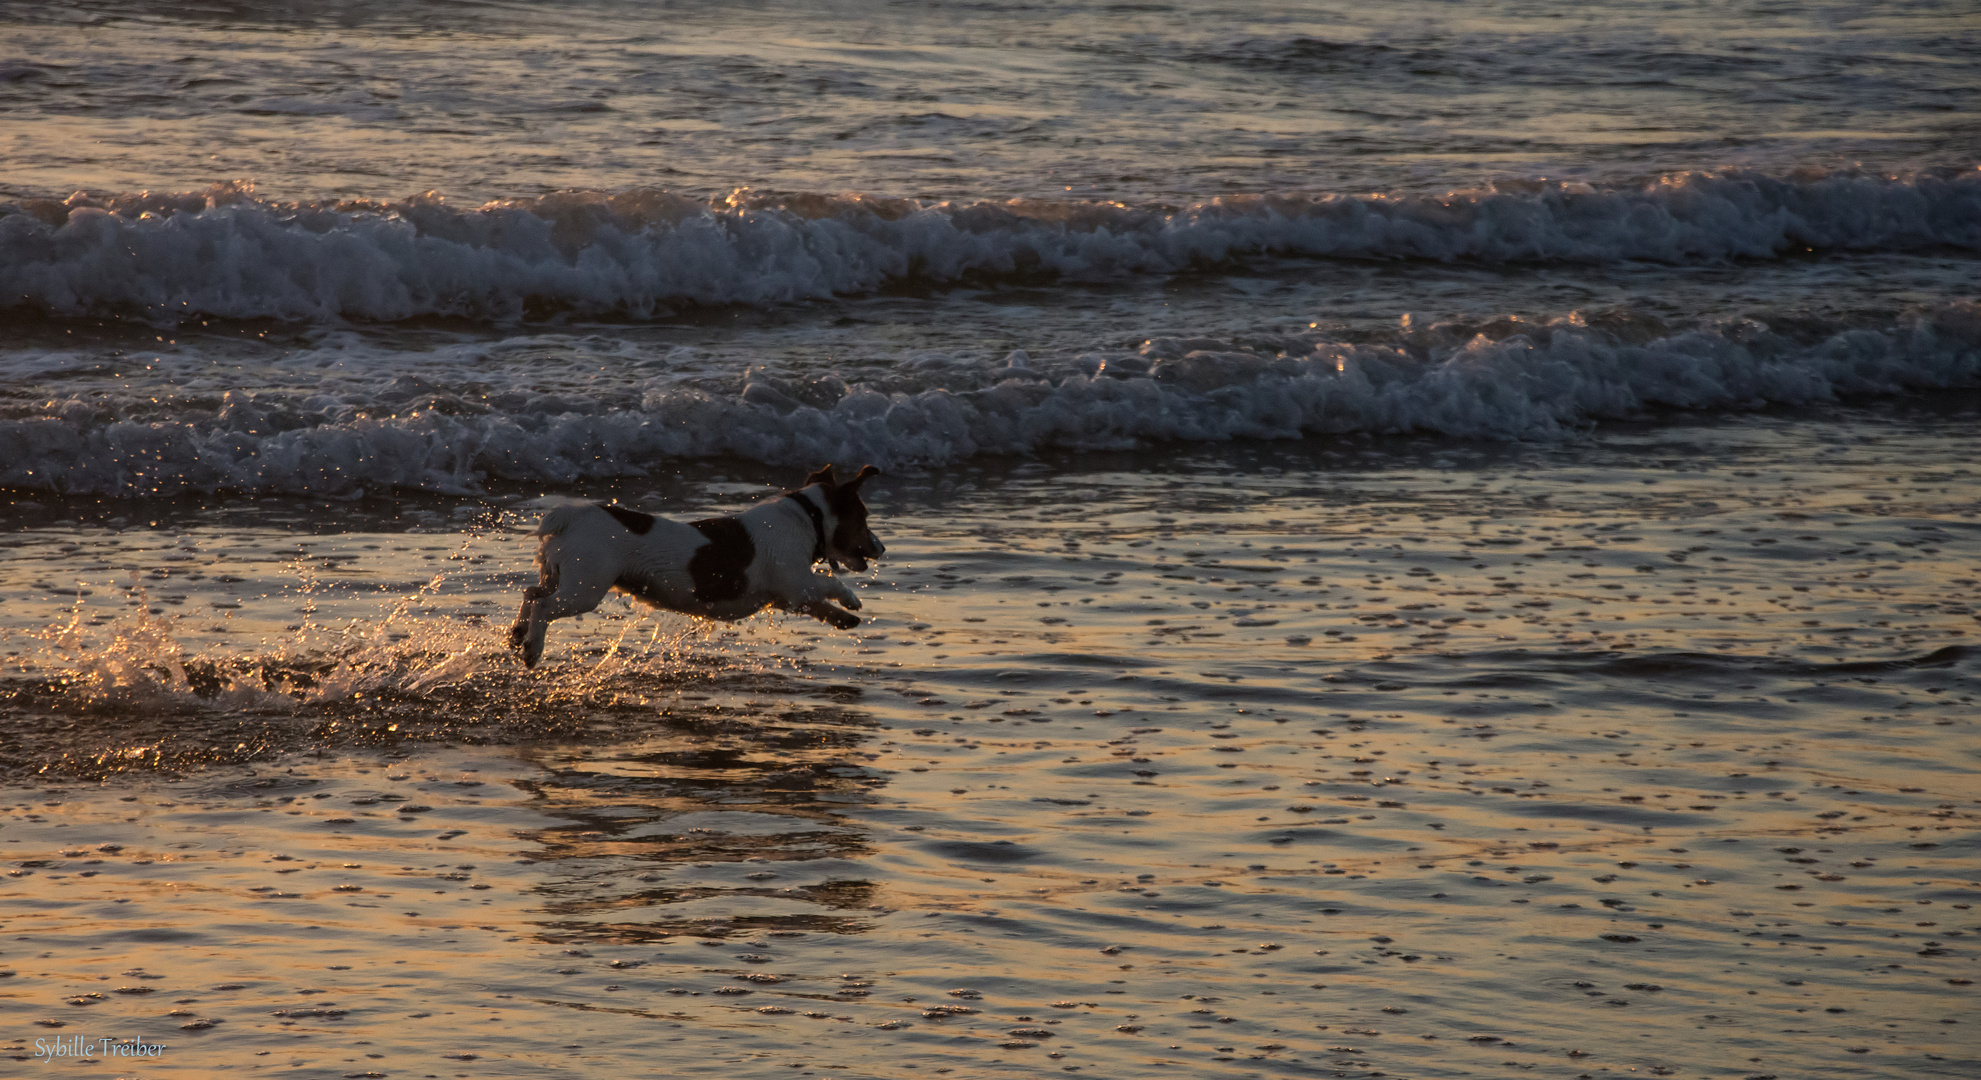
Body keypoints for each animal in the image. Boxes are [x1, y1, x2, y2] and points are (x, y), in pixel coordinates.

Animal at [511, 463, 883, 665]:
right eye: (864, 517)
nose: (880, 548)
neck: (809, 517)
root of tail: (569, 517)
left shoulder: (789, 597)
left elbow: (820, 606)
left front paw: (844, 618)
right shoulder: (796, 582)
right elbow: (828, 583)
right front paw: (851, 600)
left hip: (559, 577)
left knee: (531, 593)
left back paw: (517, 633)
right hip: (584, 589)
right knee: (544, 606)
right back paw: (532, 649)